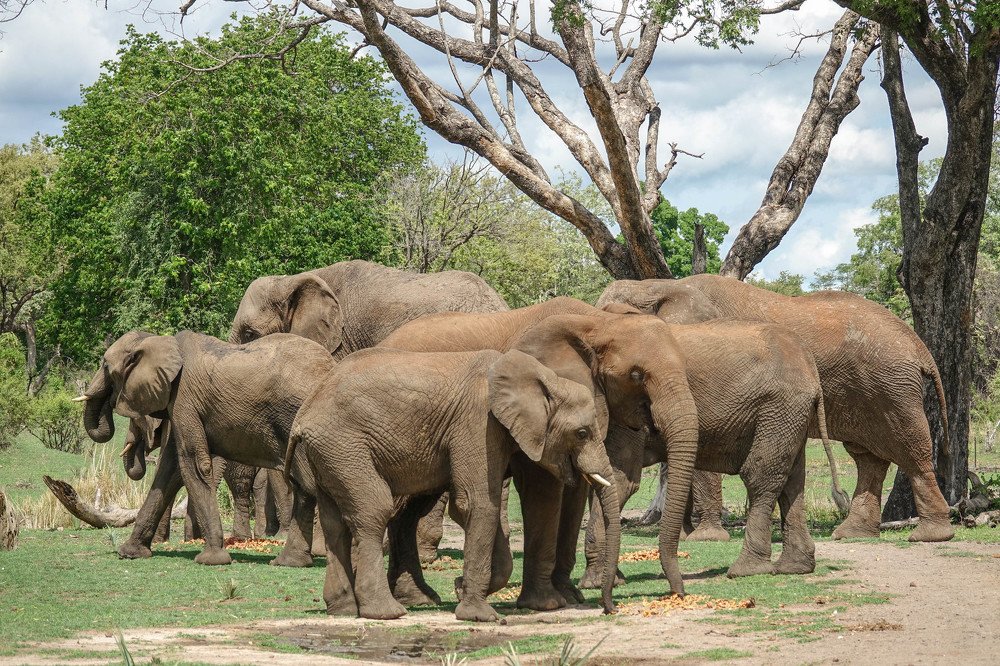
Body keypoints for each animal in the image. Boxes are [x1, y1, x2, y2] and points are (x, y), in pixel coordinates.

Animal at [80, 330, 337, 565]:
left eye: (105, 366)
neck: (160, 340)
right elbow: (169, 471)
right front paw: (130, 553)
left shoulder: (184, 398)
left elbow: (193, 463)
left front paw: (212, 559)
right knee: (305, 487)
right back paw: (291, 562)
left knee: (306, 484)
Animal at [285, 347, 621, 621]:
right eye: (582, 433)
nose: (608, 609)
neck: (545, 378)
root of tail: (305, 413)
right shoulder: (478, 422)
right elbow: (476, 503)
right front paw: (480, 616)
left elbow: (478, 507)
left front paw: (461, 590)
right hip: (345, 446)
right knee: (373, 510)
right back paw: (386, 613)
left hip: (329, 453)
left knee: (334, 523)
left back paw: (342, 610)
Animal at [379, 298, 700, 604]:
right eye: (636, 375)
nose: (679, 593)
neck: (599, 323)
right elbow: (543, 485)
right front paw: (540, 600)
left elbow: (575, 494)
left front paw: (569, 596)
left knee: (411, 509)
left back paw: (417, 597)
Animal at [579, 308, 832, 585]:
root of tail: (808, 361)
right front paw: (606, 580)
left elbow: (619, 479)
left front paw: (599, 581)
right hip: (791, 412)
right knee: (793, 480)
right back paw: (794, 567)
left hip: (779, 408)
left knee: (761, 476)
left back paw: (747, 570)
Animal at [597, 274, 955, 542]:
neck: (658, 286)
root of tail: (918, 345)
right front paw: (687, 536)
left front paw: (704, 538)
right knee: (868, 457)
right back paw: (852, 534)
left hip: (891, 386)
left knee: (908, 448)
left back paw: (931, 535)